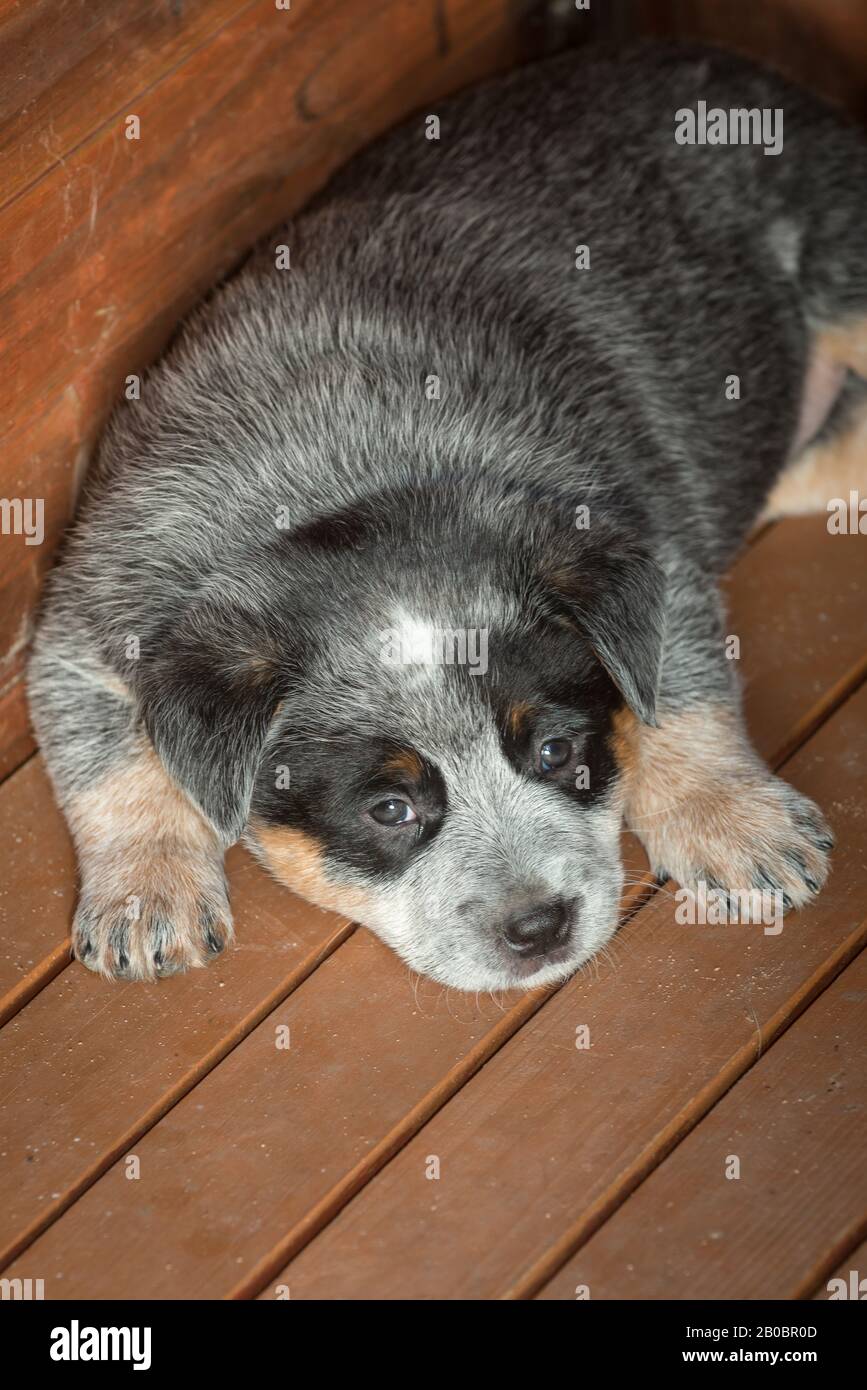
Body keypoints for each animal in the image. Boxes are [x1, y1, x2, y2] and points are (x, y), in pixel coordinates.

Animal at [27, 43, 861, 989]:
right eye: (390, 809)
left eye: (555, 754)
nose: (540, 925)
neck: (333, 481)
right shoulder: (90, 618)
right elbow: (106, 762)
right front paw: (145, 892)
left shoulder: (644, 546)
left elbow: (675, 693)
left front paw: (729, 814)